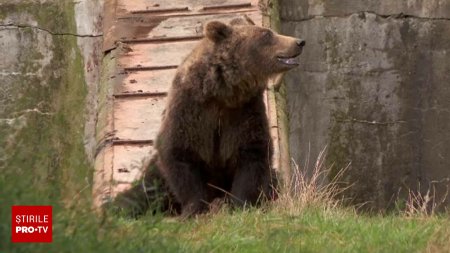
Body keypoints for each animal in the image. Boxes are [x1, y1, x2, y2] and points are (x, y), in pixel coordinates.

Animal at [112, 17, 304, 217]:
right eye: (266, 34)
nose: (299, 42)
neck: (223, 92)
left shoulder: (245, 112)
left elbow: (252, 154)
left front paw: (239, 204)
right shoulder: (190, 110)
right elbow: (180, 154)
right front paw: (194, 208)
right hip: (156, 175)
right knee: (141, 193)